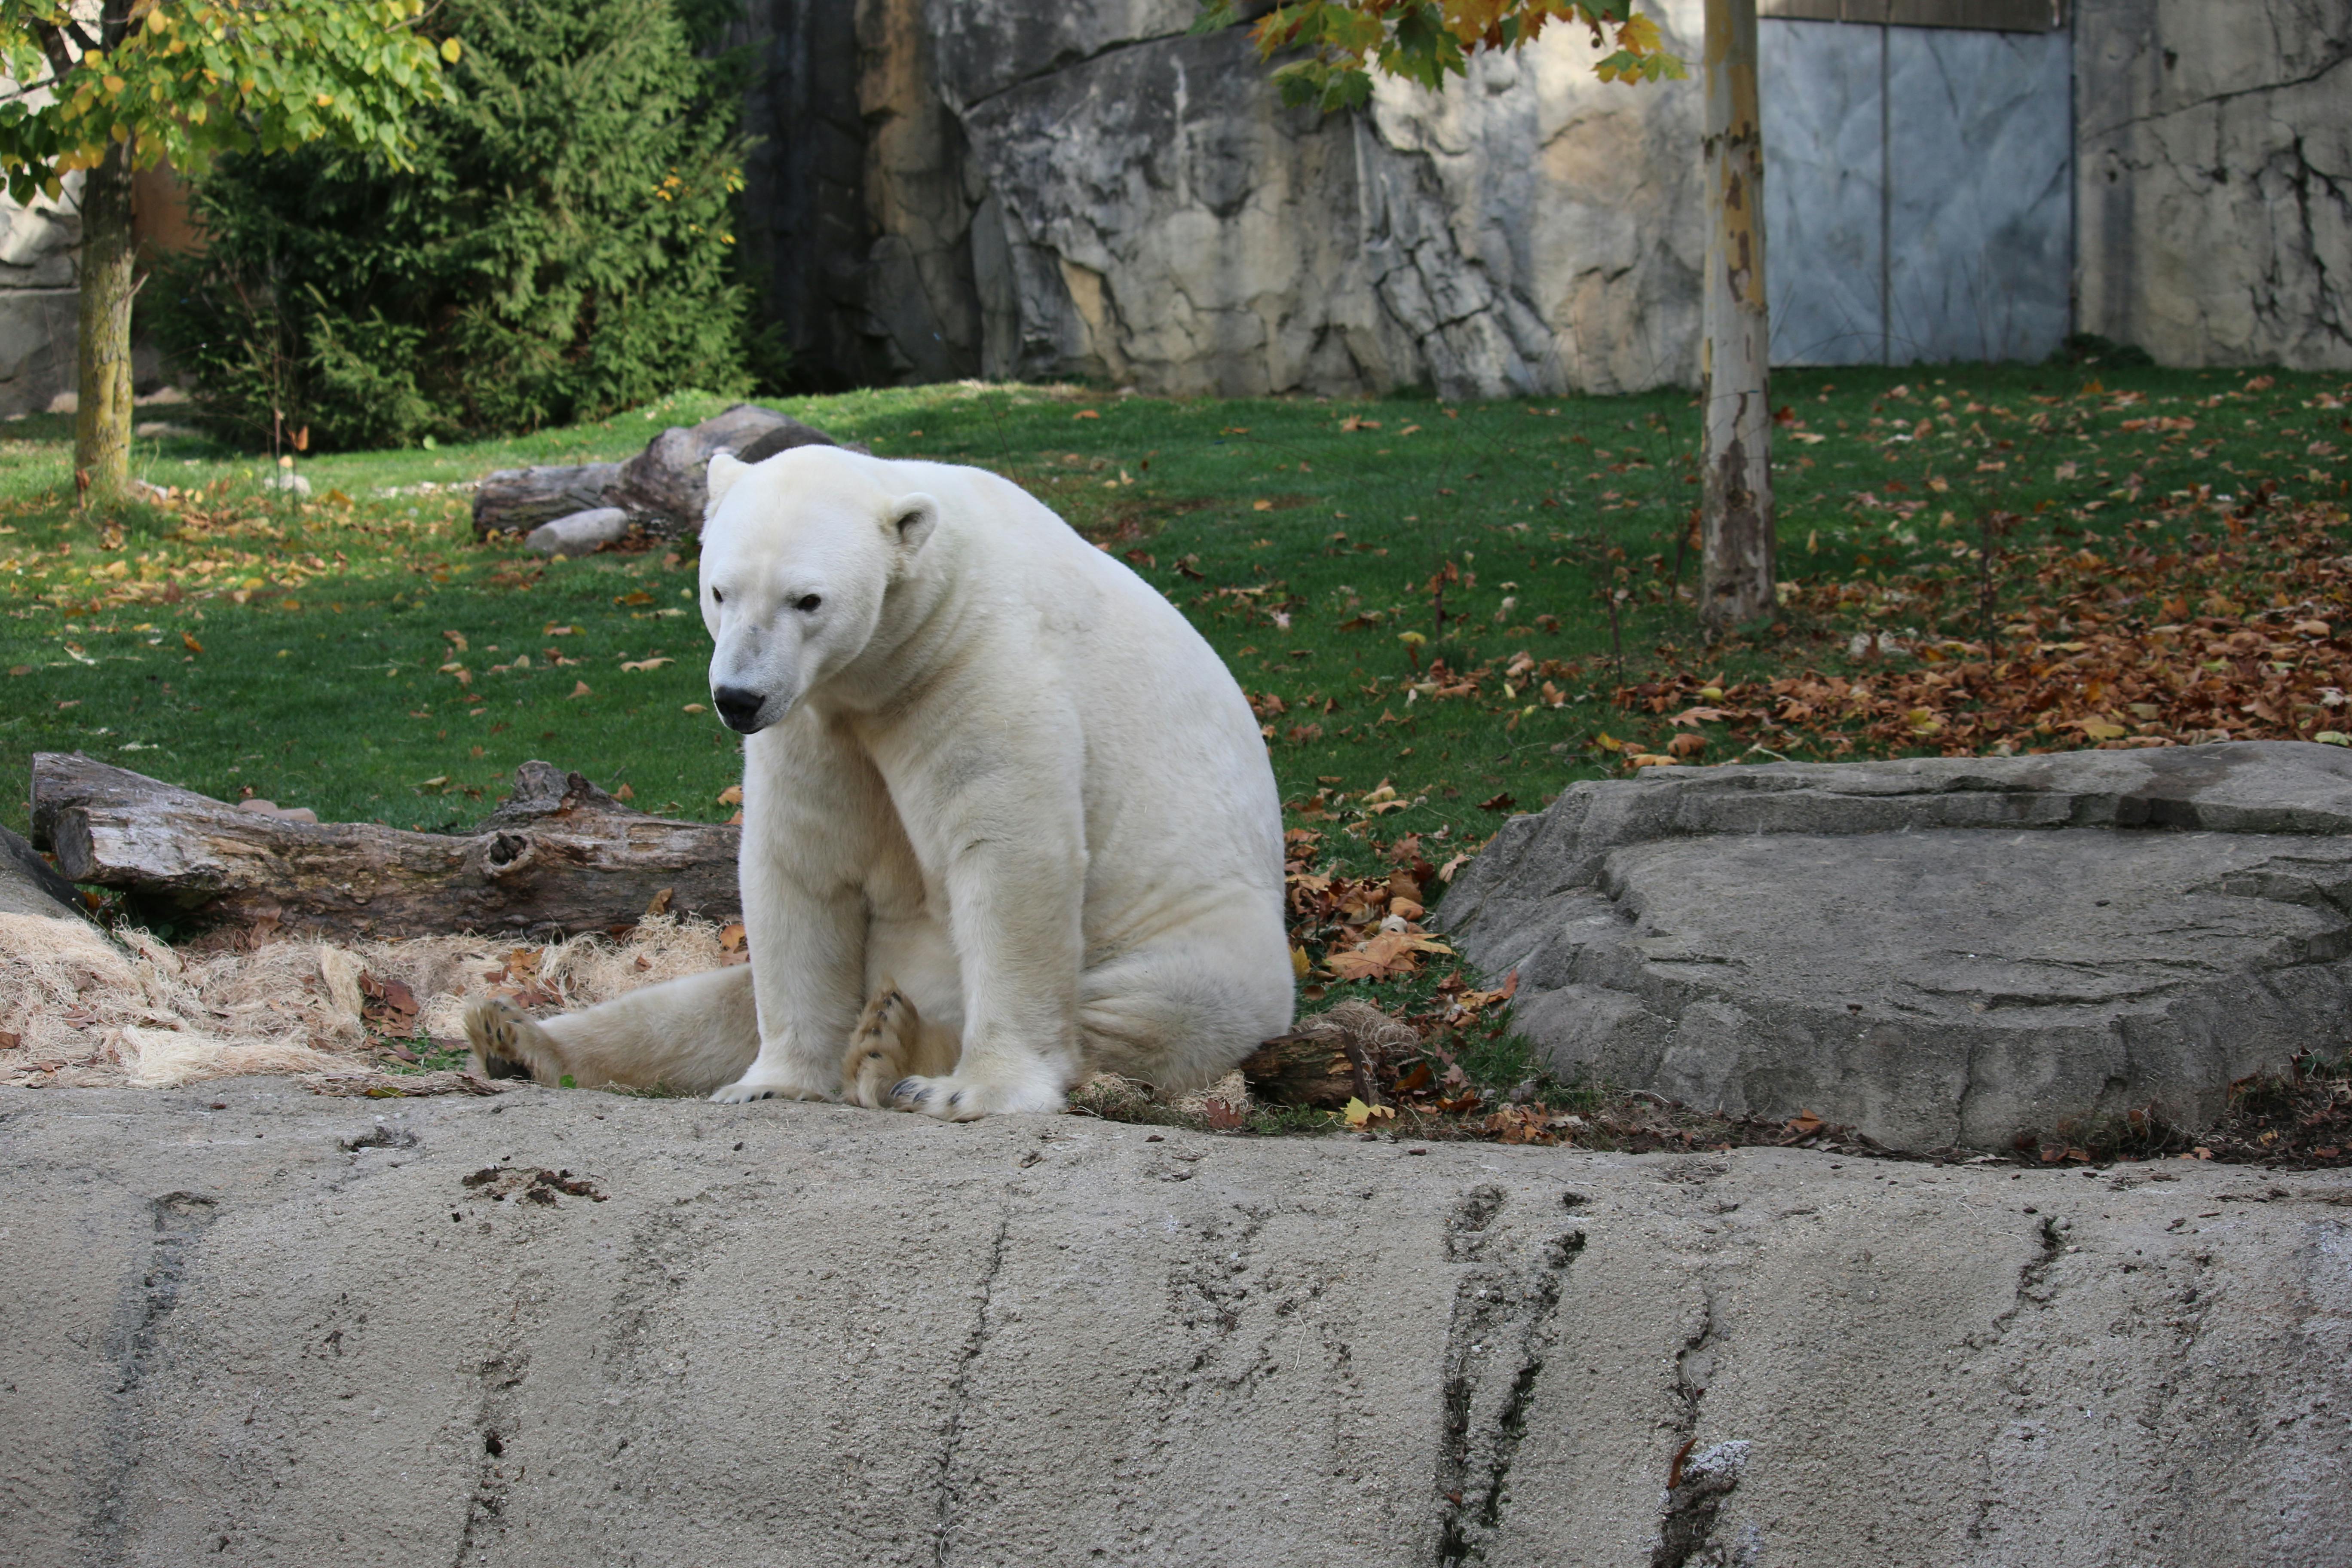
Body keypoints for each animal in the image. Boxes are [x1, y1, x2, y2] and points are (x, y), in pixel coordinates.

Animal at [465, 443, 1293, 1118]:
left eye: (808, 599)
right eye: (719, 591)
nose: (738, 698)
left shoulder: (978, 666)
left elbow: (1010, 852)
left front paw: (975, 1089)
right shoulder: (817, 720)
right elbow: (801, 864)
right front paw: (774, 1082)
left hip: (1202, 938)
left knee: (1147, 1010)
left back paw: (896, 1047)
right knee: (697, 1008)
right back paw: (512, 1034)